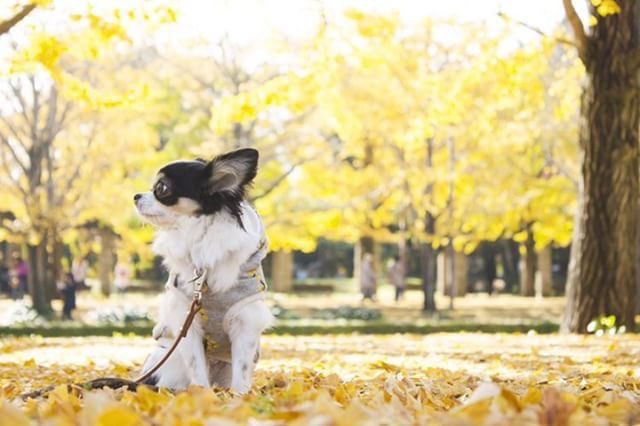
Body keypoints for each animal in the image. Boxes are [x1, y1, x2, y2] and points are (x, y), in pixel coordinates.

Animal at [134, 148, 274, 394]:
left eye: (161, 188)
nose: (136, 196)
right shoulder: (186, 320)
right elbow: (196, 366)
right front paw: (201, 395)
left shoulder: (245, 322)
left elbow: (242, 368)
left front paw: (240, 397)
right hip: (171, 361)